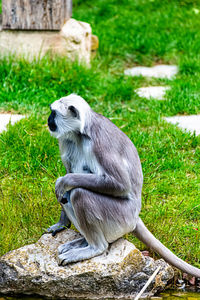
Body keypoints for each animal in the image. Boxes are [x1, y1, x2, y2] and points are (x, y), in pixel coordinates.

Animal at [47, 94, 200, 278]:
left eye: (54, 113)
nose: (48, 120)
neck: (80, 134)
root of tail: (135, 216)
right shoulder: (66, 139)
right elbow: (67, 176)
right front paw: (61, 224)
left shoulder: (100, 144)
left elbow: (120, 185)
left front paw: (64, 181)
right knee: (69, 194)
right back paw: (83, 241)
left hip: (121, 217)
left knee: (79, 193)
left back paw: (95, 247)